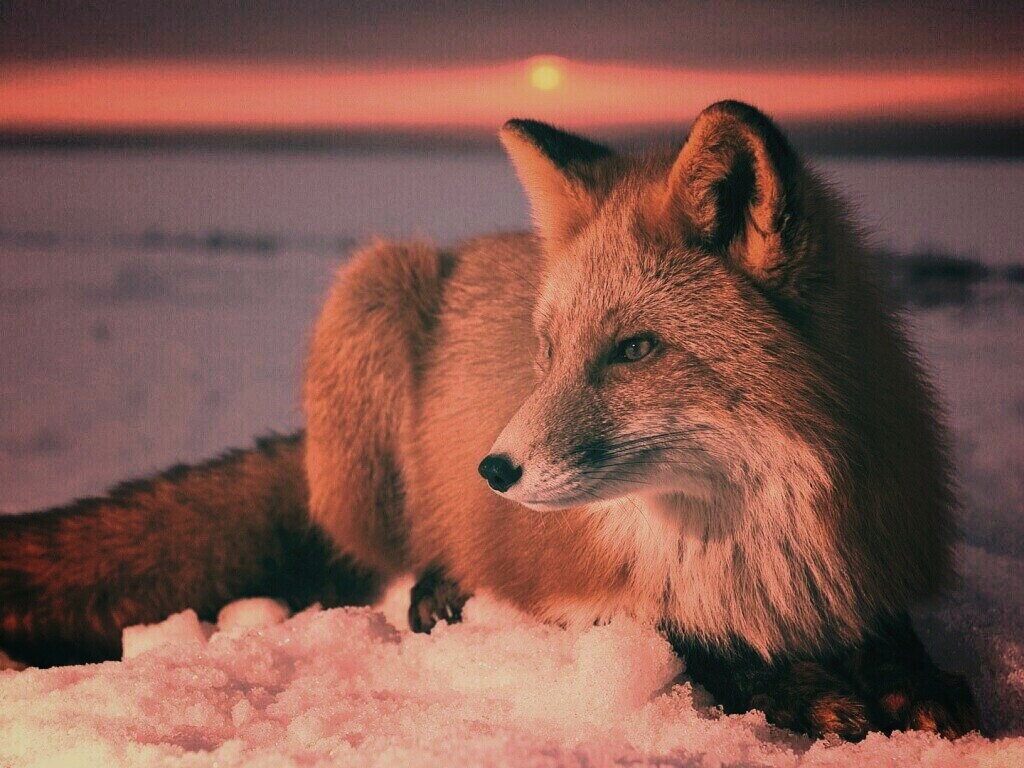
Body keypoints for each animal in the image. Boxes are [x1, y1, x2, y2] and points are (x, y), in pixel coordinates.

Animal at [0, 101, 978, 740]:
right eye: (546, 352)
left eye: (634, 349)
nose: (493, 472)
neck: (751, 544)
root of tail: (474, 246)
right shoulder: (570, 585)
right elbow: (684, 639)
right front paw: (798, 688)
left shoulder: (866, 555)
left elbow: (891, 635)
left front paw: (913, 682)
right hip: (372, 297)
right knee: (390, 556)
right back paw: (437, 587)